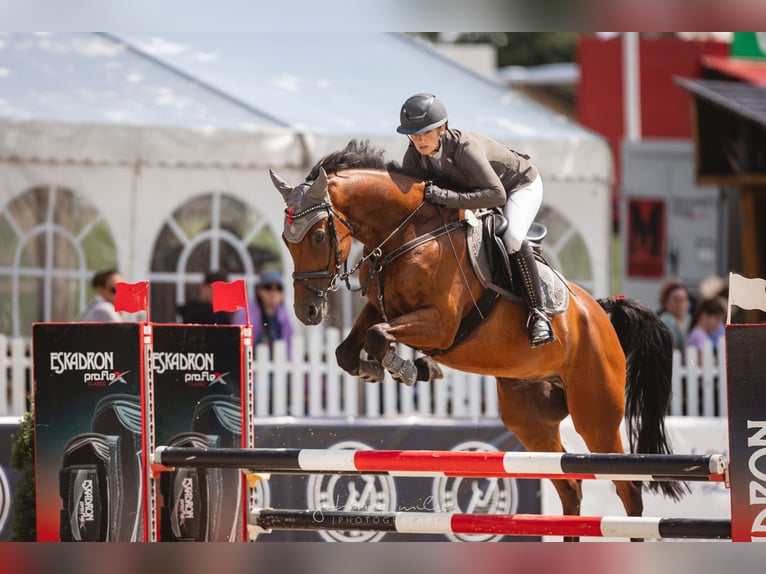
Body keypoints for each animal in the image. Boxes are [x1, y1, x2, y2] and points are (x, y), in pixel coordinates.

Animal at [268, 141, 684, 540]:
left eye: (318, 235)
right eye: (286, 241)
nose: (307, 311)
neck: (408, 233)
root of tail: (599, 312)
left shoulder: (440, 324)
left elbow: (377, 335)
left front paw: (405, 367)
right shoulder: (380, 306)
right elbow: (347, 350)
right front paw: (398, 368)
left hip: (596, 415)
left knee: (628, 490)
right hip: (529, 418)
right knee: (570, 488)